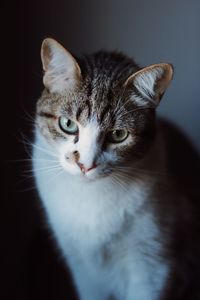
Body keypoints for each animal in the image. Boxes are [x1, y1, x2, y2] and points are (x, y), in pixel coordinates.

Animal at [32, 38, 200, 300]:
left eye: (118, 135)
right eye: (68, 124)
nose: (85, 164)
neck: (89, 197)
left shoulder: (152, 264)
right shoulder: (83, 269)